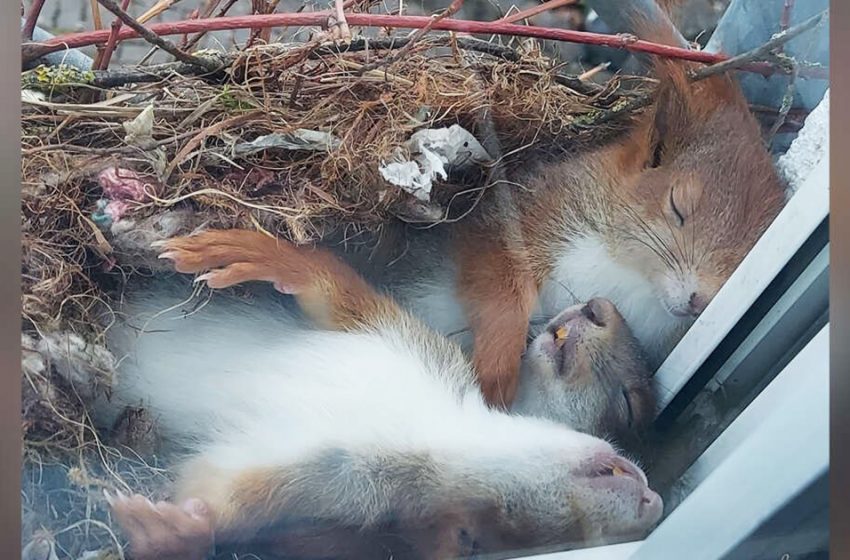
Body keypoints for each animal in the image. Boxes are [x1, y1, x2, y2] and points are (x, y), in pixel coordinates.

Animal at [101, 229, 664, 560]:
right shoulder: (405, 340)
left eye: (483, 535)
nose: (653, 502)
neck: (437, 426)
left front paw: (174, 532)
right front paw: (262, 253)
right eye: (629, 404)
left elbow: (226, 499)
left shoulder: (328, 483)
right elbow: (334, 291)